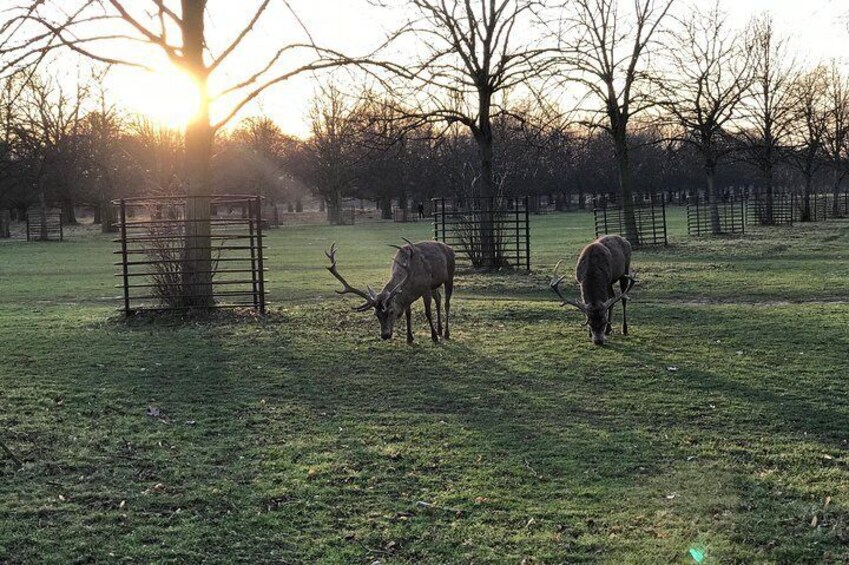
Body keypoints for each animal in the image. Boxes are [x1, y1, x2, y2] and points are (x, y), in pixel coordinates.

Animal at [326, 236, 458, 342]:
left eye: (391, 312)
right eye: (376, 314)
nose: (385, 335)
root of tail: (449, 247)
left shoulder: (425, 287)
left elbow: (428, 313)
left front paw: (434, 337)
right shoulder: (410, 293)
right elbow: (408, 314)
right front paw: (409, 338)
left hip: (450, 275)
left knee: (446, 303)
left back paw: (446, 333)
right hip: (434, 284)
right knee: (438, 299)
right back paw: (440, 330)